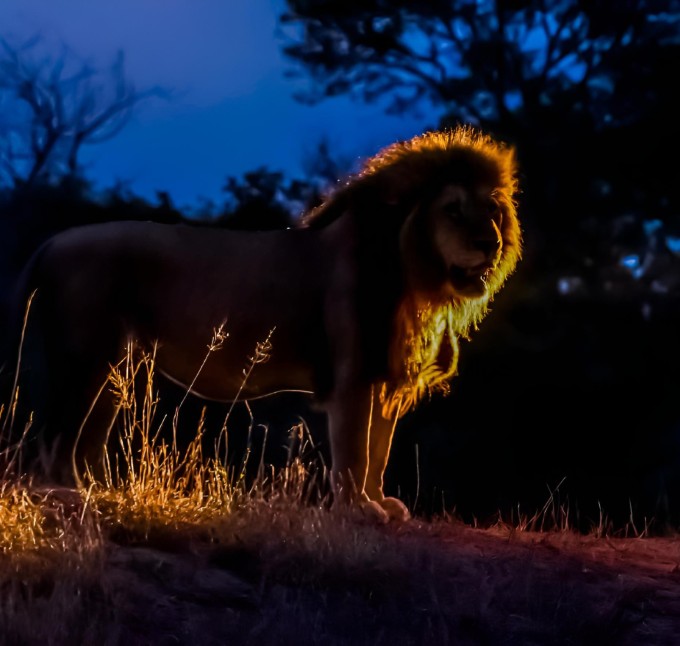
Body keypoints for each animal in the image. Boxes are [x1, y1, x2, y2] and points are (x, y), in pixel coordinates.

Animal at [5, 124, 522, 522]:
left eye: (492, 210)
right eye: (452, 210)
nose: (490, 243)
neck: (415, 275)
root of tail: (52, 242)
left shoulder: (381, 375)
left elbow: (380, 448)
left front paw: (380, 503)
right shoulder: (353, 376)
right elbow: (355, 452)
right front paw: (358, 510)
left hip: (117, 368)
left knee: (84, 442)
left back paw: (101, 494)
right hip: (83, 360)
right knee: (55, 441)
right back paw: (70, 498)